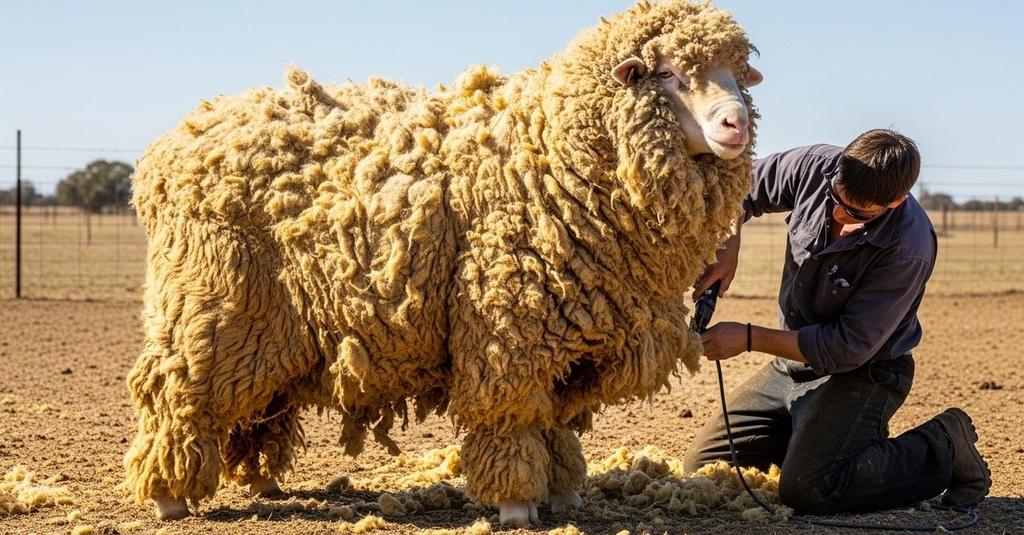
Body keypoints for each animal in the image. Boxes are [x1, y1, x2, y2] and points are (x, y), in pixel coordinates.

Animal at [123, 0, 761, 527]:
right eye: (668, 73)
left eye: (737, 73)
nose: (737, 122)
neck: (553, 153)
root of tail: (161, 153)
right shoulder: (508, 331)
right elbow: (510, 418)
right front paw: (516, 505)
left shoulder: (571, 336)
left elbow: (556, 427)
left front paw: (565, 492)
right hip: (213, 307)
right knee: (175, 393)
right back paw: (168, 495)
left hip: (267, 331)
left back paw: (259, 484)